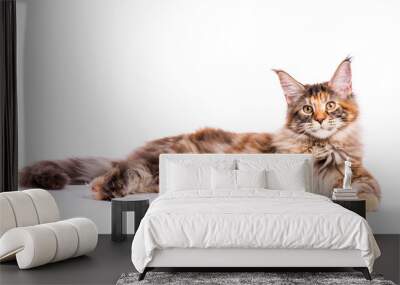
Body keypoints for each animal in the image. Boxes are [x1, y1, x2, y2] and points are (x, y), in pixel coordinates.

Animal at [19, 58, 382, 209]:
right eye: (307, 109)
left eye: (330, 106)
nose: (320, 119)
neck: (318, 148)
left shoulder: (359, 175)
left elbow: (366, 191)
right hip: (155, 164)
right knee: (115, 174)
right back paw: (104, 187)